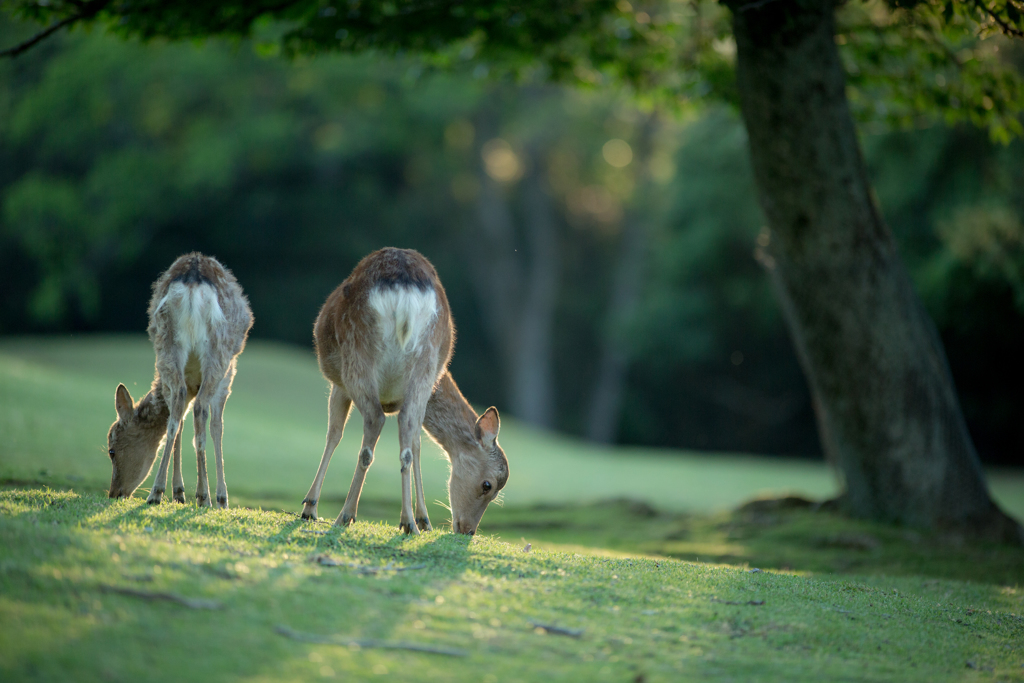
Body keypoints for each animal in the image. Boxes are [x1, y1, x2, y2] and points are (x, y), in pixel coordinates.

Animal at [105, 252, 253, 507]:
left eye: (111, 450)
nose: (114, 493)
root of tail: (192, 282)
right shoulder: (229, 373)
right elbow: (216, 426)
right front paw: (221, 497)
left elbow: (180, 422)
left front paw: (178, 492)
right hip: (219, 353)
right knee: (200, 409)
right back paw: (203, 496)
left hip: (167, 349)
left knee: (177, 412)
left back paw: (157, 492)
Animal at [299, 248, 507, 536]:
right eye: (488, 486)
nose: (468, 530)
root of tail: (407, 294)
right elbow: (416, 445)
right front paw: (424, 519)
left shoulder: (338, 385)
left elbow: (333, 435)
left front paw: (309, 507)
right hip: (426, 364)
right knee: (406, 435)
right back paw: (409, 521)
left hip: (356, 356)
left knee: (374, 423)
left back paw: (346, 515)